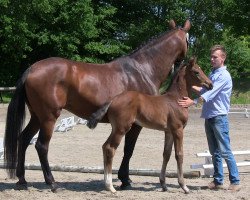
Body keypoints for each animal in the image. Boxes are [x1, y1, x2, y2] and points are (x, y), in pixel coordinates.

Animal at [3, 19, 190, 191]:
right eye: (188, 40)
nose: (182, 64)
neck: (142, 69)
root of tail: (32, 69)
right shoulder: (136, 125)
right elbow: (128, 150)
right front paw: (125, 180)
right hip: (49, 117)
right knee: (41, 146)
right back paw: (52, 183)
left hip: (37, 117)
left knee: (24, 139)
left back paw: (22, 180)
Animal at [86, 57, 213, 194]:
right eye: (196, 72)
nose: (210, 84)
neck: (176, 99)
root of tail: (113, 99)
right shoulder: (178, 130)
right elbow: (179, 155)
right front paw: (184, 186)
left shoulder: (168, 131)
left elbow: (166, 154)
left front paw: (163, 185)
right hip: (121, 129)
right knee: (110, 148)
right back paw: (110, 187)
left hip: (116, 128)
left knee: (105, 146)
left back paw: (107, 184)